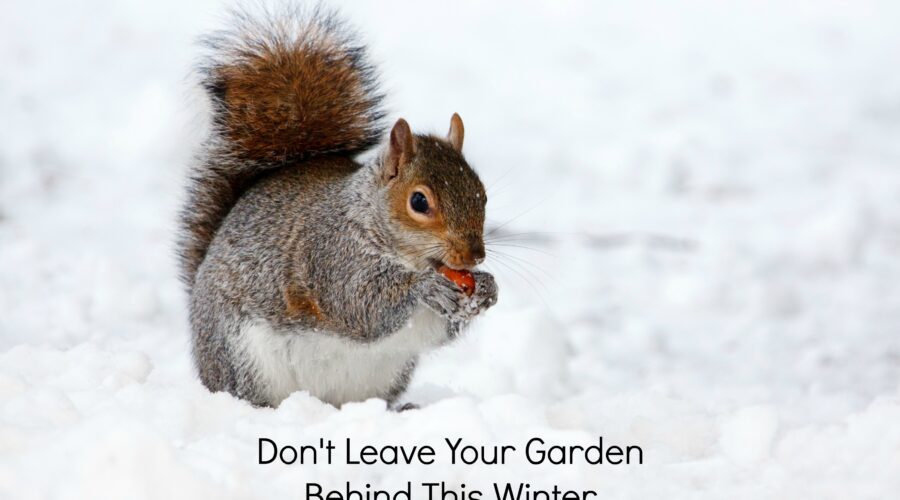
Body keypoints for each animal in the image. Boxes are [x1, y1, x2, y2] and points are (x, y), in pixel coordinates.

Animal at [178, 5, 498, 408]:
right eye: (419, 201)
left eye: (482, 194)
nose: (474, 256)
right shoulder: (331, 256)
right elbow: (360, 304)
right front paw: (425, 287)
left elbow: (438, 329)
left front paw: (487, 288)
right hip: (240, 356)